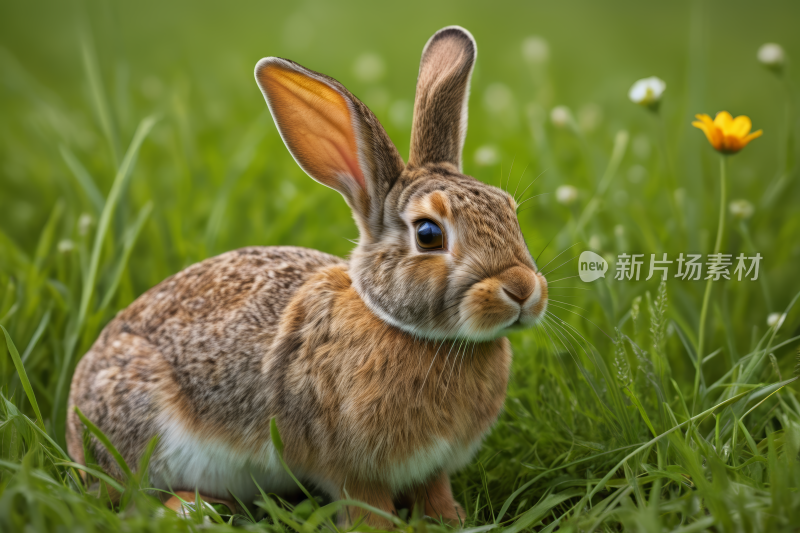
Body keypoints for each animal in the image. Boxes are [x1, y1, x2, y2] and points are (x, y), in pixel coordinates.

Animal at [65, 25, 548, 524]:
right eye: (428, 234)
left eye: (509, 211)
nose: (522, 290)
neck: (402, 327)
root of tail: (74, 422)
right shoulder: (350, 467)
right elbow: (366, 506)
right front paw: (383, 530)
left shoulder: (431, 467)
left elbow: (434, 492)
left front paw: (451, 520)